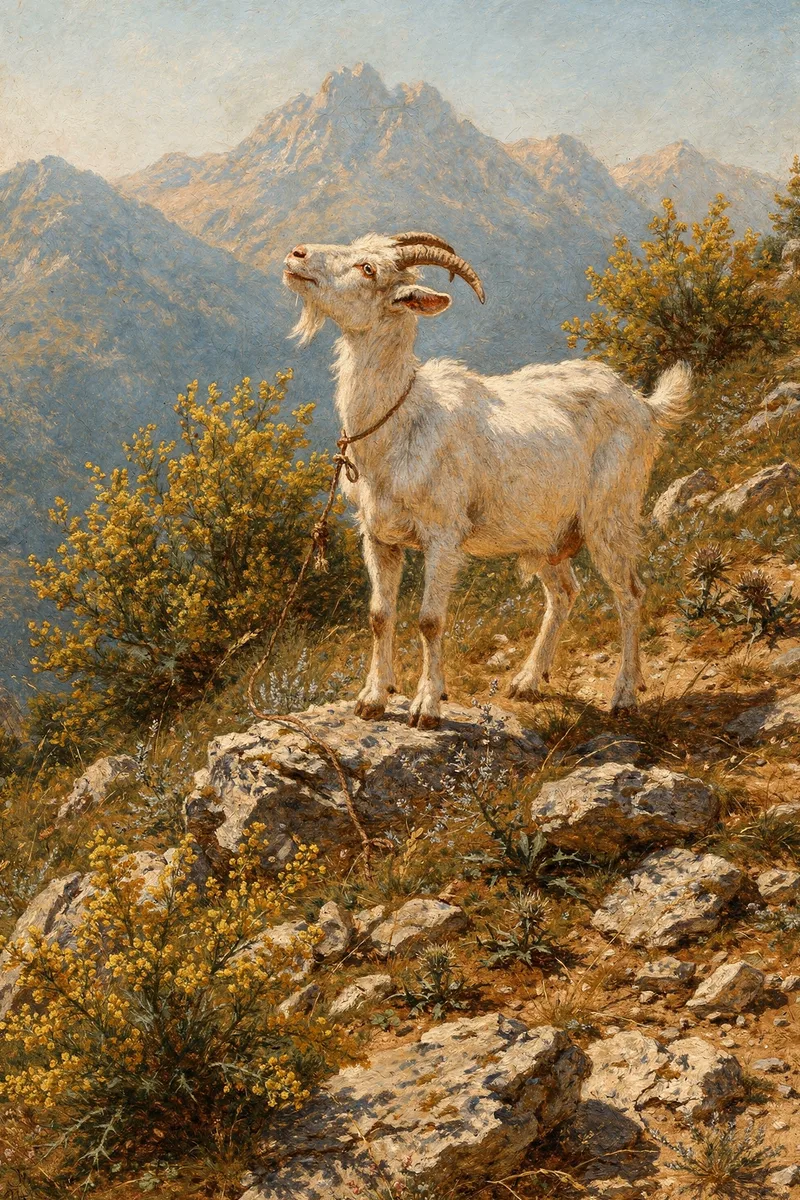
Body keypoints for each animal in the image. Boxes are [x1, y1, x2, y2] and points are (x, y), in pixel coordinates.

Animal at [283, 232, 690, 729]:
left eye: (368, 269)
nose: (297, 255)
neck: (401, 422)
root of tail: (643, 404)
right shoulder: (379, 537)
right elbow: (379, 614)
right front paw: (373, 699)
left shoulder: (443, 538)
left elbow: (430, 620)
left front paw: (426, 706)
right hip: (545, 536)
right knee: (565, 594)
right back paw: (529, 681)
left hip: (609, 517)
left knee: (629, 593)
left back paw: (625, 694)